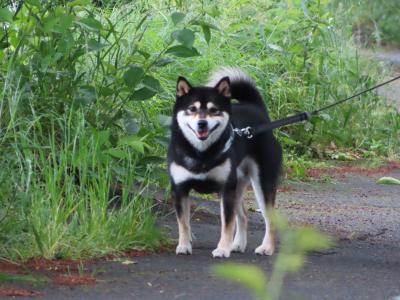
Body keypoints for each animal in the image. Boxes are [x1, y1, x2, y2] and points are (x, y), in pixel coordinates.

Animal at [167, 68, 282, 258]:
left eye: (214, 110)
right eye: (192, 109)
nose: (202, 123)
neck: (202, 153)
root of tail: (256, 108)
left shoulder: (226, 189)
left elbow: (227, 224)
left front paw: (222, 249)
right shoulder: (179, 189)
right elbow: (183, 223)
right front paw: (184, 246)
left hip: (262, 182)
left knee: (269, 218)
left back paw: (267, 247)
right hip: (238, 184)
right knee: (243, 215)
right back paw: (238, 245)